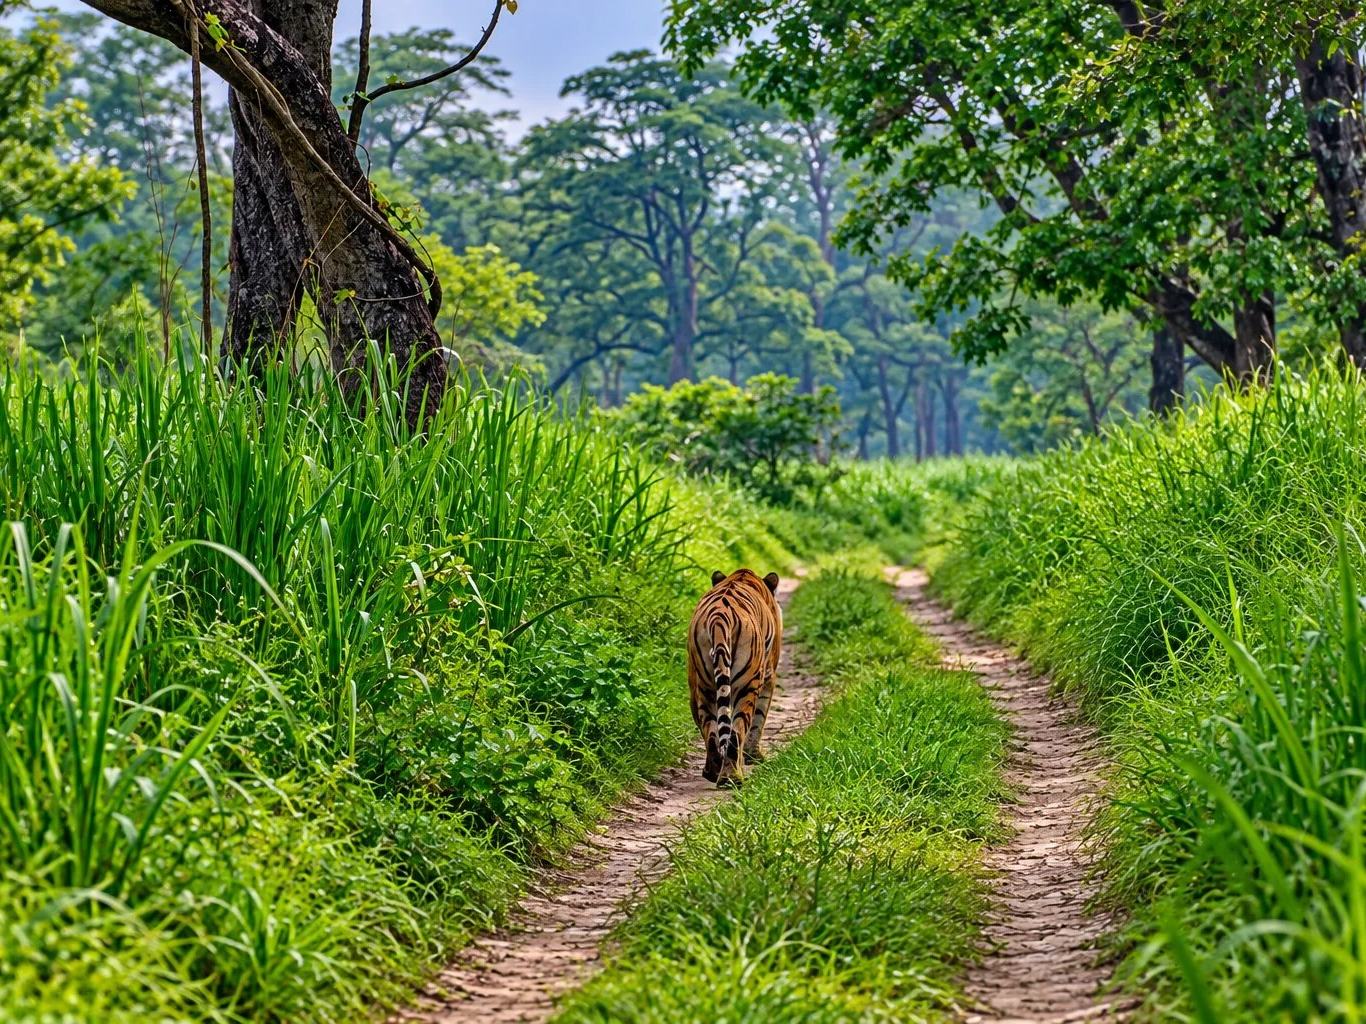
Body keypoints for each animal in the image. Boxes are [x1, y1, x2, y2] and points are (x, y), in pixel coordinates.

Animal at [687, 568, 782, 786]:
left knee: (711, 730)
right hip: (747, 685)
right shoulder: (768, 676)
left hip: (704, 686)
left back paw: (713, 772)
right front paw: (753, 756)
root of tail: (719, 616)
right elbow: (759, 719)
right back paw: (732, 777)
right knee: (737, 731)